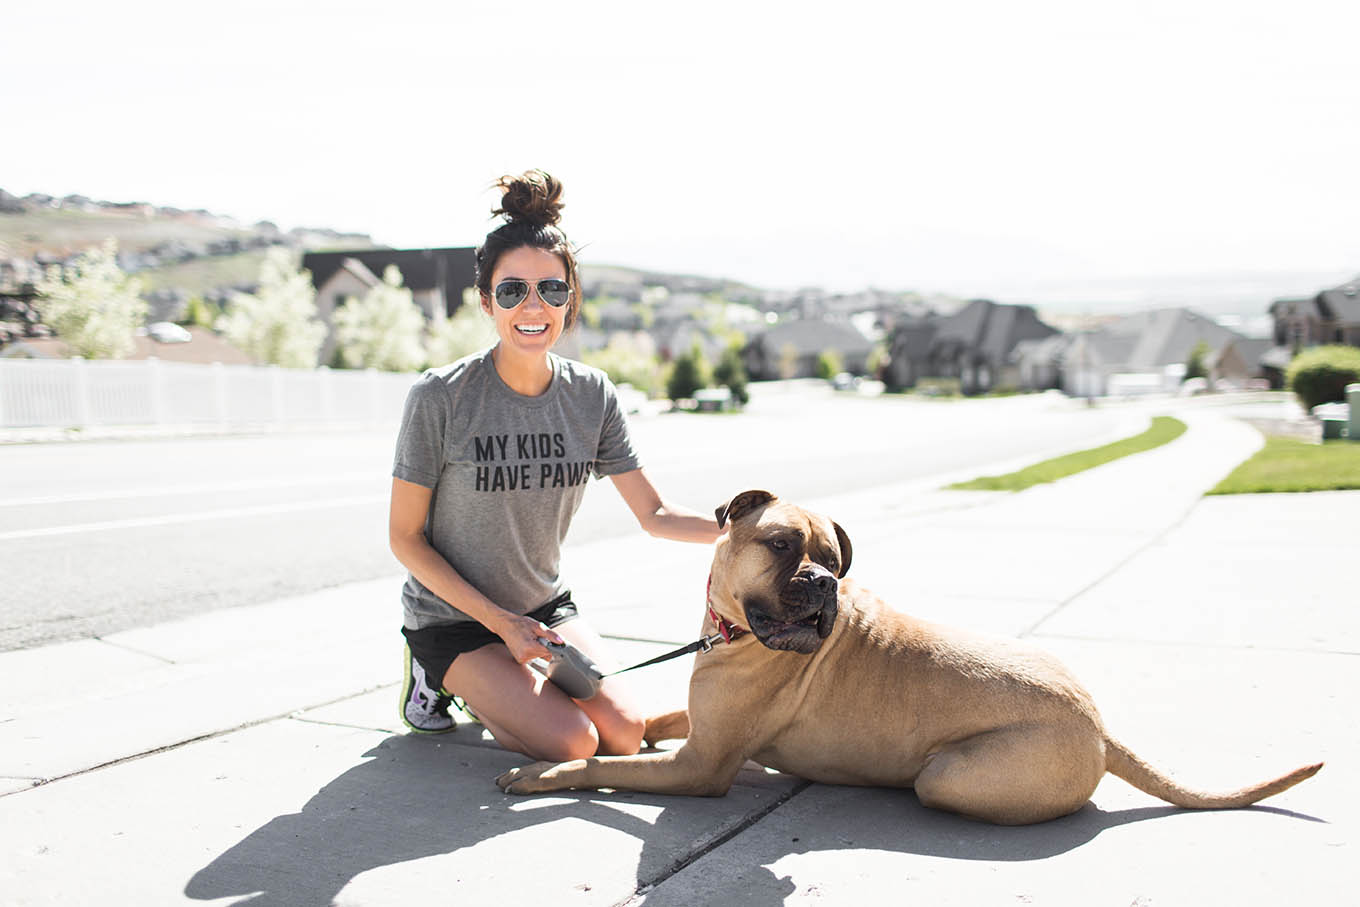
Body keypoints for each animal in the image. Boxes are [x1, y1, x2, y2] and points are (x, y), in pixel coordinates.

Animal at [497, 492, 1316, 826]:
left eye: (835, 561)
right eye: (783, 545)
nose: (825, 583)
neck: (731, 633)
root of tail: (1101, 727)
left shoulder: (701, 767)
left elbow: (599, 764)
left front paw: (545, 776)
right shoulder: (701, 728)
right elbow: (652, 722)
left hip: (947, 775)